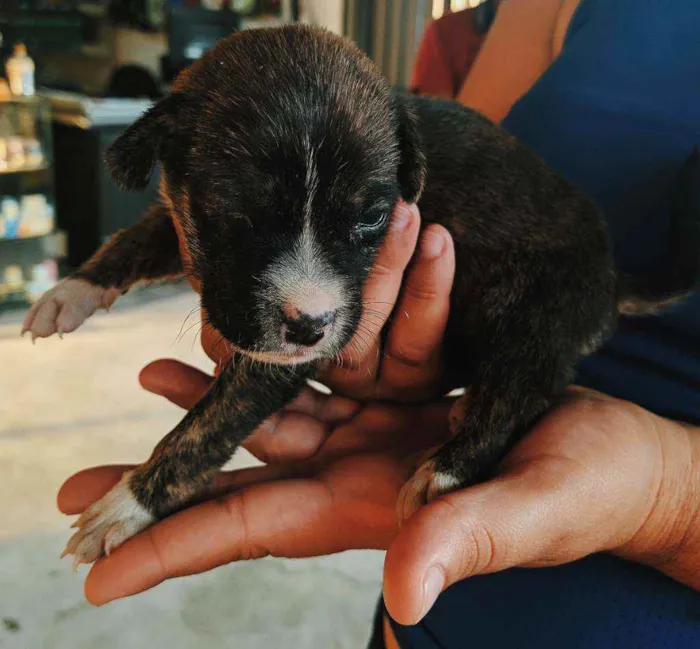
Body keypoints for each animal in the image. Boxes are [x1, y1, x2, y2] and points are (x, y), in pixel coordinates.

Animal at [23, 26, 700, 560]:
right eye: (236, 216)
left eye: (373, 219)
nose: (308, 326)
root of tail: (613, 274)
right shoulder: (193, 238)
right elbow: (138, 236)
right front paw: (70, 292)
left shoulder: (279, 357)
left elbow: (206, 426)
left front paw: (127, 505)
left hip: (537, 310)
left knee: (522, 389)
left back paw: (447, 470)